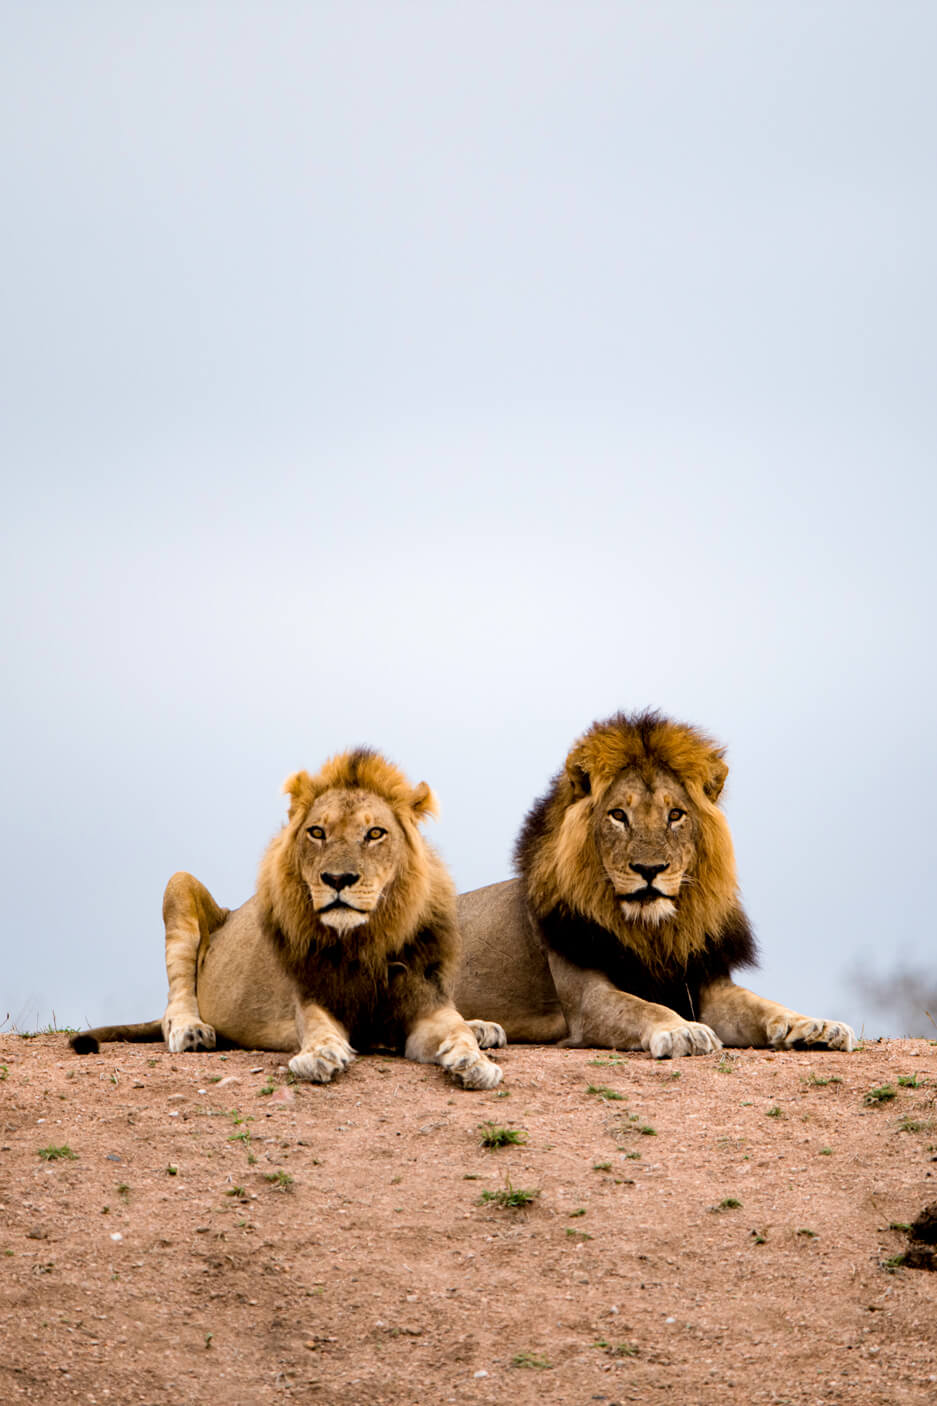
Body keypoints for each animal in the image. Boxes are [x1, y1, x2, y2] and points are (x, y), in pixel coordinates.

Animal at [71, 749, 505, 1089]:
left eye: (375, 833)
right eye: (317, 832)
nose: (338, 879)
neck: (364, 941)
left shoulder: (426, 1001)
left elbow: (455, 1029)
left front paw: (475, 1060)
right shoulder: (311, 996)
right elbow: (318, 1028)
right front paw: (320, 1055)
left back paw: (484, 1028)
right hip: (178, 884)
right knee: (172, 1005)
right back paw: (191, 1030)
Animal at [454, 711, 855, 1057]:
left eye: (675, 814)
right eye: (618, 815)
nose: (650, 869)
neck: (654, 932)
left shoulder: (706, 984)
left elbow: (764, 1004)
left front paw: (817, 1026)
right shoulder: (585, 999)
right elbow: (642, 1008)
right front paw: (683, 1031)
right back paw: (479, 1028)